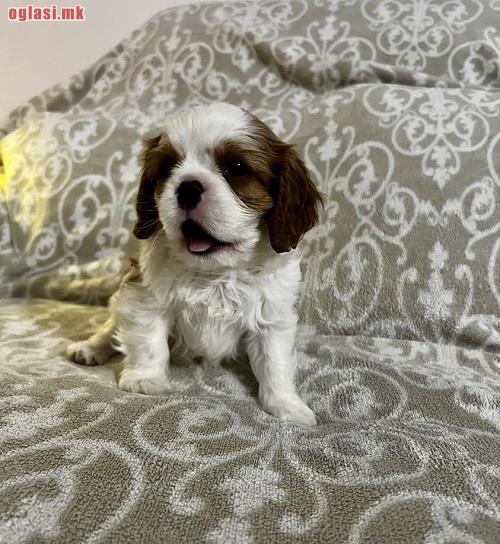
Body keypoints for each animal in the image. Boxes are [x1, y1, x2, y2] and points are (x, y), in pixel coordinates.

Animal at [67, 102, 322, 426]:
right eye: (166, 169)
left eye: (236, 168)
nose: (187, 187)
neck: (215, 273)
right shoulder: (144, 296)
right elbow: (148, 340)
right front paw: (144, 379)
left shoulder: (272, 316)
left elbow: (274, 361)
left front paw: (287, 405)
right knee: (110, 326)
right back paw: (89, 348)